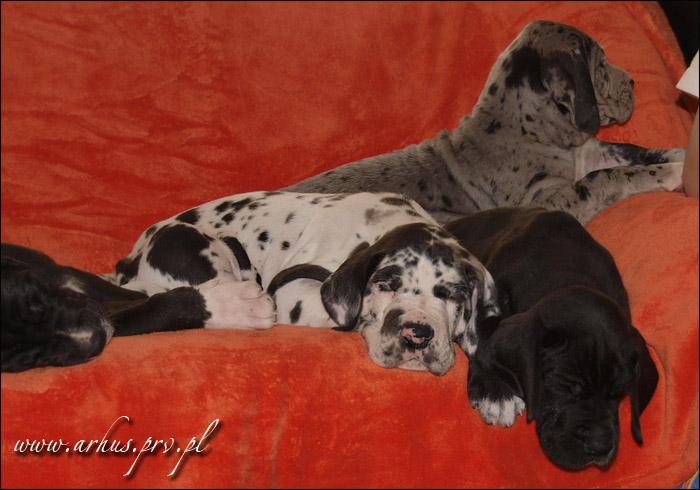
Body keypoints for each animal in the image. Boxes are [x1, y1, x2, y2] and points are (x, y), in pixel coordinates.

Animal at [2, 191, 500, 374]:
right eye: (386, 283)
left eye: (453, 295)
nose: (417, 334)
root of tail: (130, 261)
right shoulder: (294, 290)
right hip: (209, 249)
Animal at [283, 20, 685, 225]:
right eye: (600, 65)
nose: (632, 82)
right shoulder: (548, 200)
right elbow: (606, 177)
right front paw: (672, 174)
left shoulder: (597, 152)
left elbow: (639, 152)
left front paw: (682, 156)